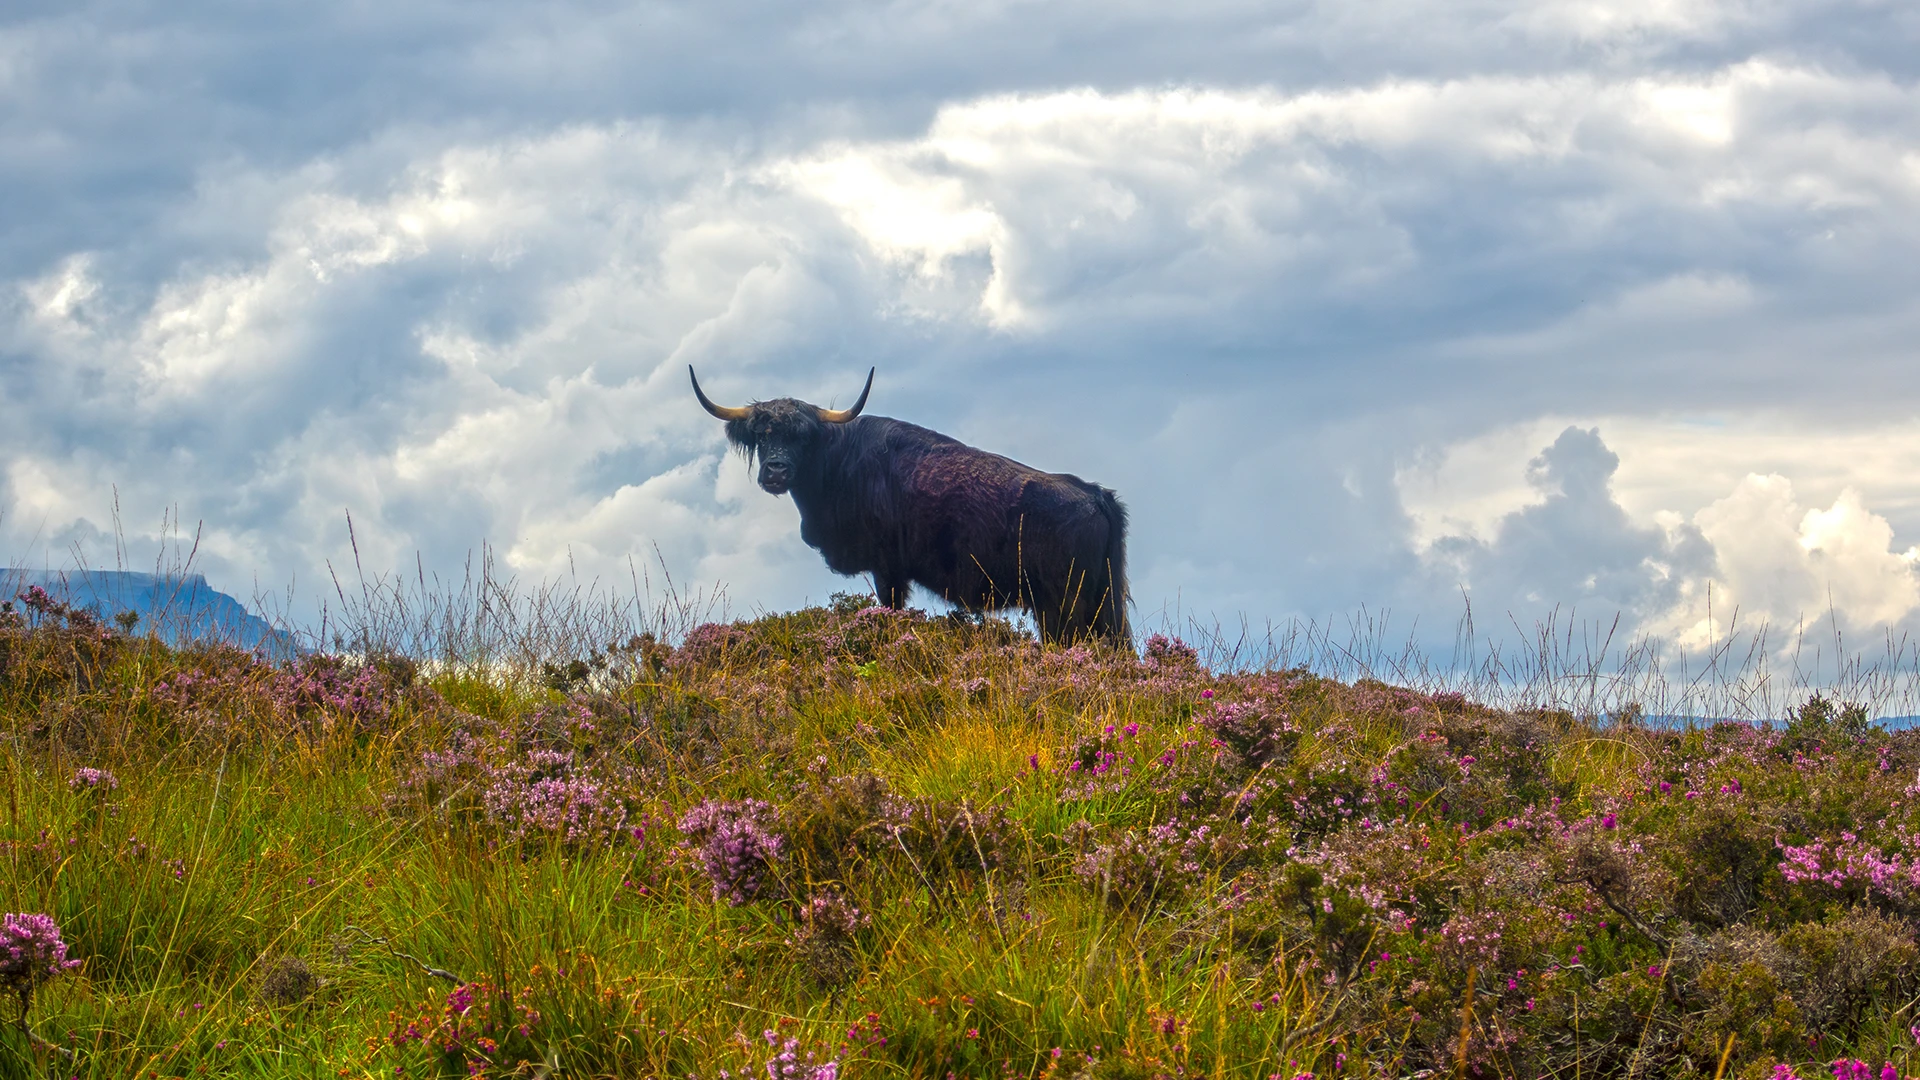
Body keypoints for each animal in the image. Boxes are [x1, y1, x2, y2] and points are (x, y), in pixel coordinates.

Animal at [690, 366, 1130, 645]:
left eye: (802, 436)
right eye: (762, 434)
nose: (776, 471)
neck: (839, 464)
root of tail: (1094, 494)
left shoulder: (887, 567)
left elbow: (891, 606)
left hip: (1065, 604)